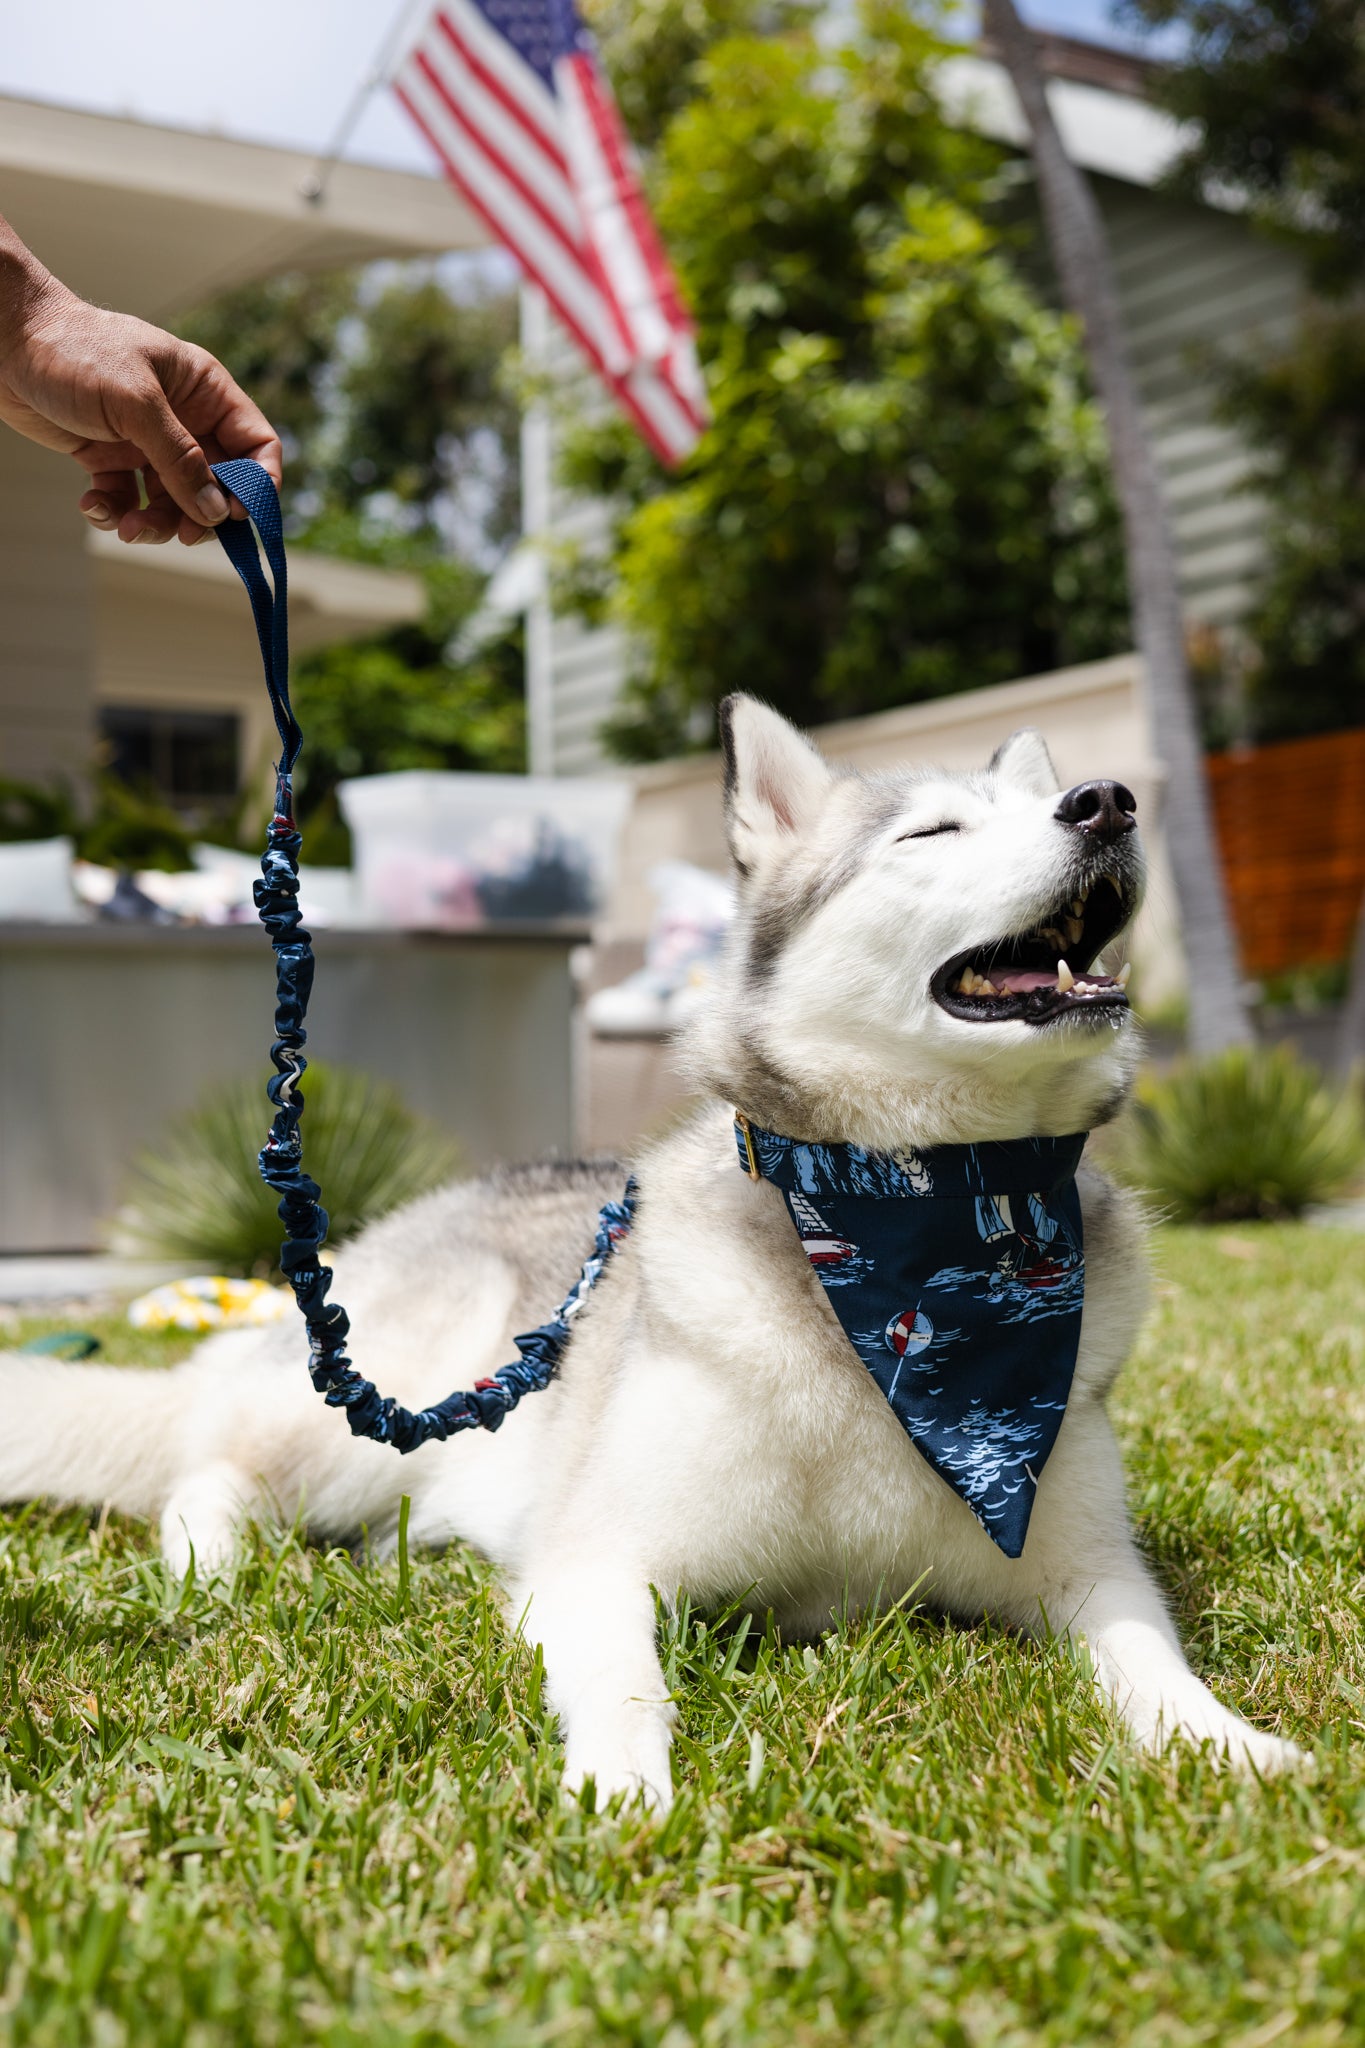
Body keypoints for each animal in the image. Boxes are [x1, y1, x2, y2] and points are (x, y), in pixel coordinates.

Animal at [0, 700, 1301, 1810]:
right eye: (932, 831)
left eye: (1047, 802)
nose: (1106, 800)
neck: (911, 1225)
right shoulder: (597, 1563)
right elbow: (627, 1678)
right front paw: (625, 1786)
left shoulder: (1091, 1568)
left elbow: (1148, 1652)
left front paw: (1226, 1741)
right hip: (369, 1411)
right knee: (205, 1464)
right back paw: (211, 1565)